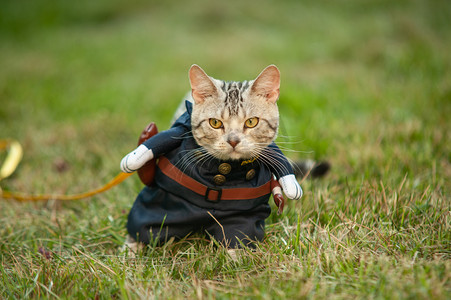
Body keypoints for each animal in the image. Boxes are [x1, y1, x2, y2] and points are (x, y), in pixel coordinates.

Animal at [119, 65, 308, 251]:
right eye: (215, 123)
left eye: (251, 122)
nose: (233, 140)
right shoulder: (160, 205)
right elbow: (143, 228)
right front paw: (131, 249)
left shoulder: (242, 218)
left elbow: (240, 240)